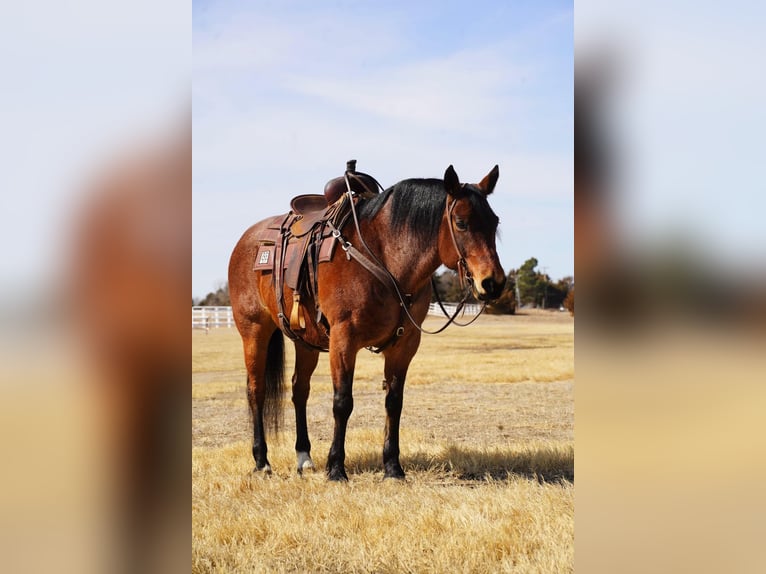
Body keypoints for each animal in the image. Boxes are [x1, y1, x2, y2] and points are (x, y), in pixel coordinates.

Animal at [225, 165, 508, 482]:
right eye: (461, 222)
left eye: (494, 221)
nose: (493, 282)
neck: (384, 257)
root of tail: (247, 240)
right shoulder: (343, 340)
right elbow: (342, 402)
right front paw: (336, 468)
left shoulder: (405, 344)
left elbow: (394, 402)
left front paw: (393, 468)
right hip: (254, 331)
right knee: (256, 391)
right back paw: (262, 461)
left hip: (305, 341)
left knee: (300, 390)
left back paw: (304, 457)